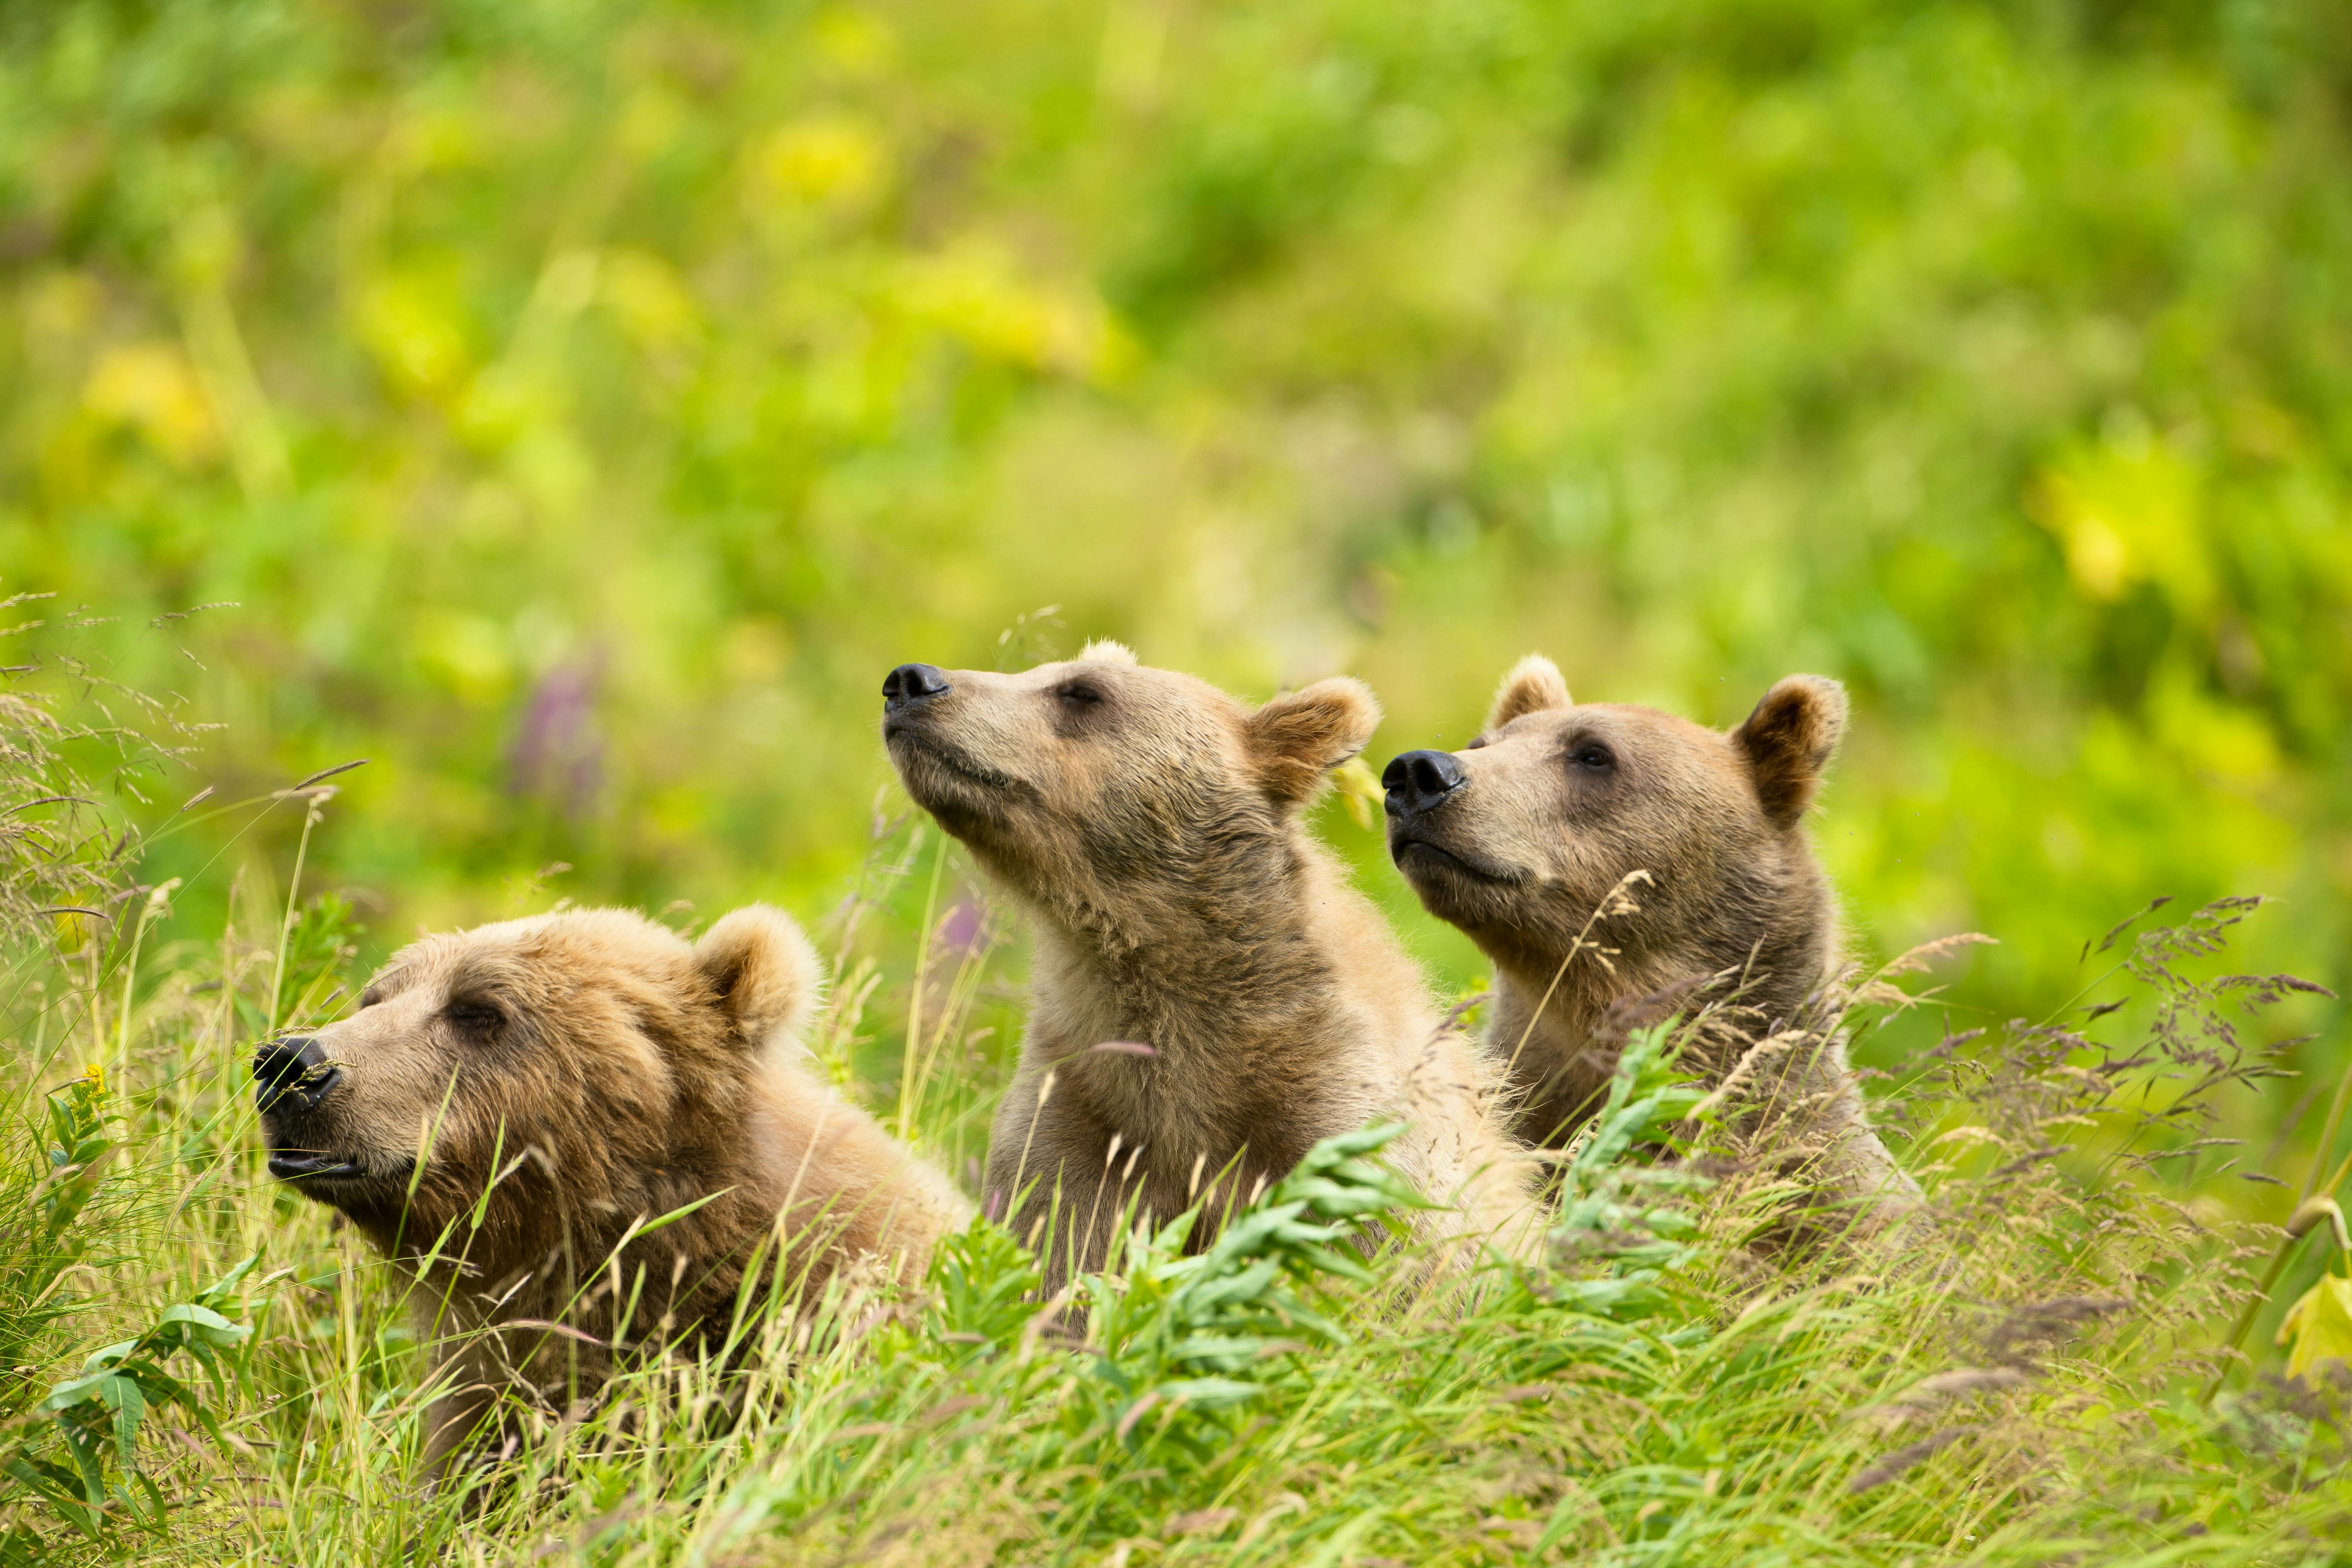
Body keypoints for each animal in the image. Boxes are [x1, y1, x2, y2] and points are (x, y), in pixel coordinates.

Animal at [880, 642, 1537, 1293]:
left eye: (1082, 692)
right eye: (1039, 673)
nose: (912, 682)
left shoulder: (1337, 1119)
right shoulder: (1082, 1115)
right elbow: (1061, 1257)